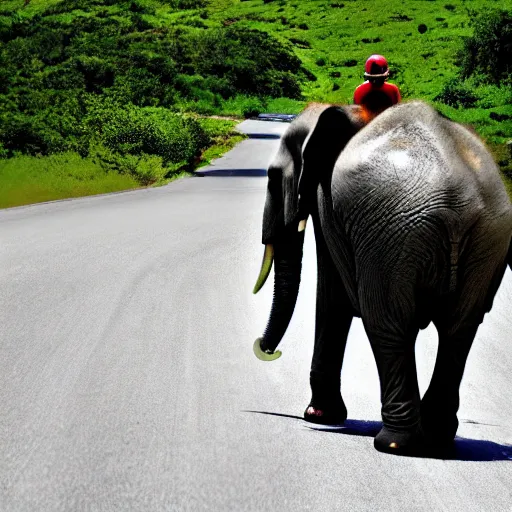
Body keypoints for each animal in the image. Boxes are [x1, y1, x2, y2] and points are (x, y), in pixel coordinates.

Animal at [253, 100, 512, 456]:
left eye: (274, 177)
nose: (267, 350)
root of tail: (456, 202)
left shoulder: (328, 202)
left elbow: (333, 295)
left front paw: (318, 416)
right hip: (486, 240)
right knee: (459, 329)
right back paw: (437, 439)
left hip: (394, 240)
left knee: (388, 325)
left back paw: (393, 442)